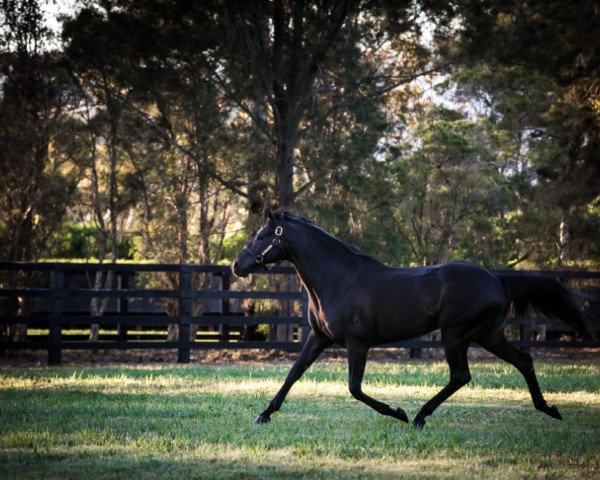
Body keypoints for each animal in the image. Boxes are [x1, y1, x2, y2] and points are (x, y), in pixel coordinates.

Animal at [232, 209, 592, 428]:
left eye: (263, 235)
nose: (237, 265)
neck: (339, 279)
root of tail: (497, 278)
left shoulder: (357, 343)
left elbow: (354, 388)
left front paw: (398, 412)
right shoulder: (318, 337)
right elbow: (293, 374)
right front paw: (264, 415)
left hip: (455, 334)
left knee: (461, 375)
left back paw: (418, 417)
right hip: (487, 335)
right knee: (523, 361)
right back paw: (549, 409)